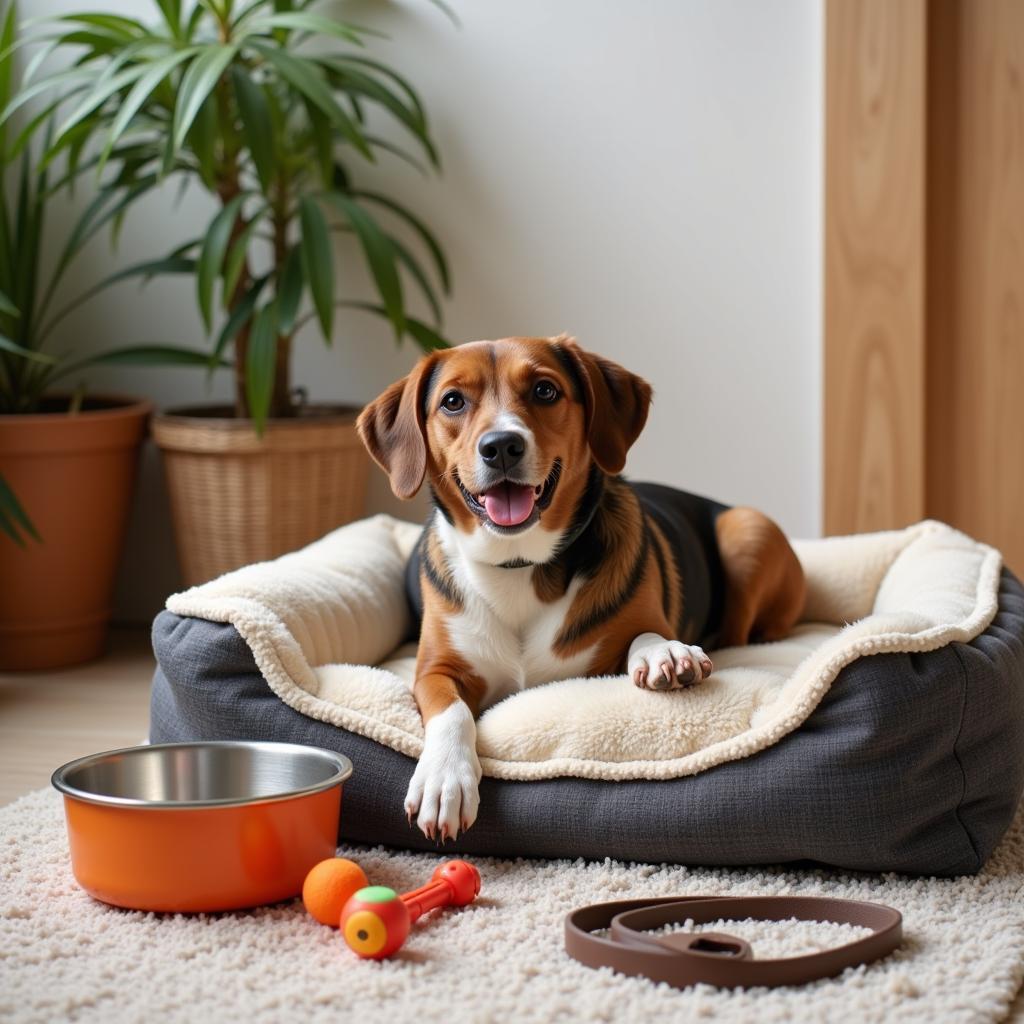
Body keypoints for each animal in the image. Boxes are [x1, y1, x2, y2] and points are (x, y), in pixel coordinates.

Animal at [356, 335, 802, 839]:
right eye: (452, 401)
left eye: (545, 390)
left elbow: (645, 634)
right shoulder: (434, 671)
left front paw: (665, 654)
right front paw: (443, 778)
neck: (519, 562)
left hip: (747, 527)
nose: (502, 446)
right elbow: (453, 713)